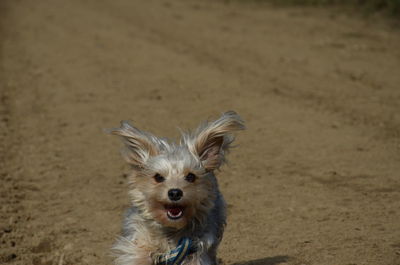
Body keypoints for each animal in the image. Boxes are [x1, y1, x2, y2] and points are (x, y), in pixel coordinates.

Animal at [109, 111, 245, 264]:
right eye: (158, 177)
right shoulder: (138, 247)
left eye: (191, 176)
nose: (175, 193)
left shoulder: (196, 252)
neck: (171, 230)